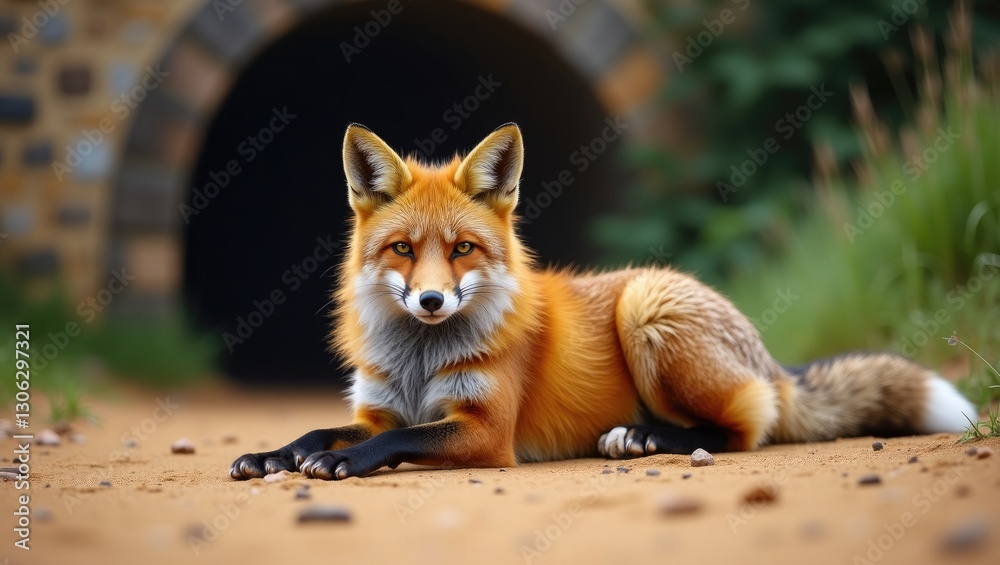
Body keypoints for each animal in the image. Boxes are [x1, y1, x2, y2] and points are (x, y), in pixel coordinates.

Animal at [230, 123, 976, 481]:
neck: (419, 362)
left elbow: (402, 439)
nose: (433, 300)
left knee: (744, 427)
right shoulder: (379, 409)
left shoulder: (483, 431)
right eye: (403, 250)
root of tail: (768, 356)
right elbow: (324, 431)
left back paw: (647, 437)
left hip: (646, 307)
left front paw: (339, 465)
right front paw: (273, 455)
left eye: (463, 248)